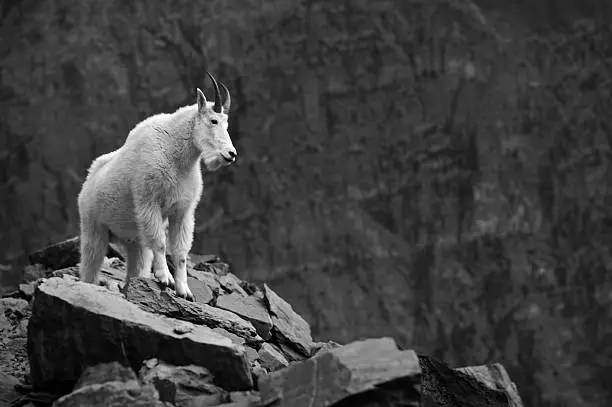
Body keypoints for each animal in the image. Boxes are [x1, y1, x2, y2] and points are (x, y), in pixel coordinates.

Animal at [77, 71, 235, 302]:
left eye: (226, 125)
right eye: (214, 120)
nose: (231, 154)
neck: (178, 156)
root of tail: (89, 180)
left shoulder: (182, 212)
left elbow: (180, 253)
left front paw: (184, 291)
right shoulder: (149, 202)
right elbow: (160, 241)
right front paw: (165, 278)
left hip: (135, 243)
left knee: (136, 266)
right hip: (94, 228)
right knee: (90, 265)